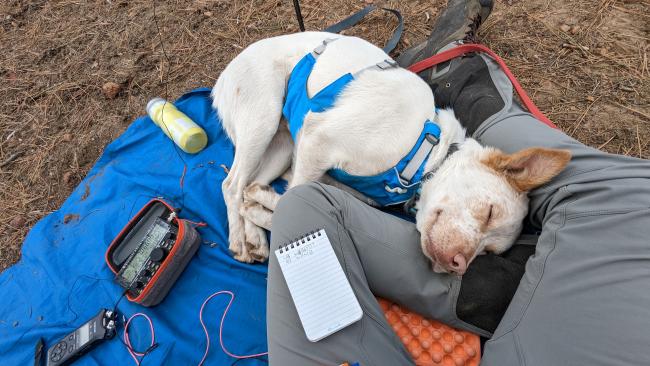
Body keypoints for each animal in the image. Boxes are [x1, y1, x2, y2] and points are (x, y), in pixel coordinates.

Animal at [209, 33, 568, 274]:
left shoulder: (317, 161)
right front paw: (264, 210)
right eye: (490, 212)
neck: (425, 152)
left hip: (282, 144)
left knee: (246, 182)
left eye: (488, 252)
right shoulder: (317, 138)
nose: (457, 266)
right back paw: (239, 238)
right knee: (231, 183)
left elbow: (290, 196)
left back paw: (254, 236)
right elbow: (293, 198)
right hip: (264, 118)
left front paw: (260, 207)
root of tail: (222, 77)